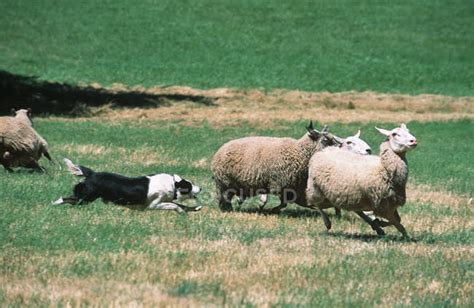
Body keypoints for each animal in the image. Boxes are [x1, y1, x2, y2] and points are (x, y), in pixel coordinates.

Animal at [53, 158, 202, 213]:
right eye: (190, 185)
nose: (201, 188)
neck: (173, 184)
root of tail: (92, 173)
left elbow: (181, 204)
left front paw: (196, 208)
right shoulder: (154, 205)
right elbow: (175, 205)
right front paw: (182, 211)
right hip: (86, 198)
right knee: (66, 198)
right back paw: (54, 203)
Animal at [211, 121, 340, 213]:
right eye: (325, 140)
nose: (339, 147)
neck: (299, 151)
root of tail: (219, 151)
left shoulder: (287, 185)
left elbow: (285, 202)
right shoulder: (279, 183)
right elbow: (282, 202)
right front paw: (267, 207)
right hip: (225, 181)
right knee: (223, 196)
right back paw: (227, 209)